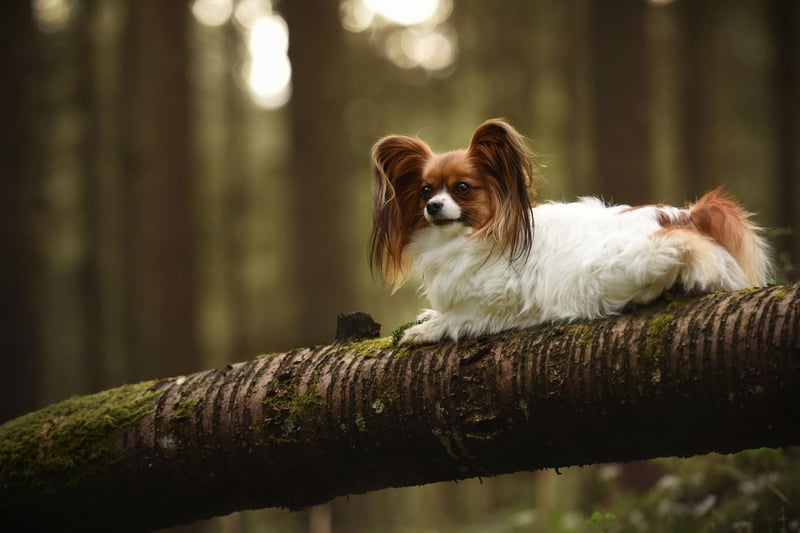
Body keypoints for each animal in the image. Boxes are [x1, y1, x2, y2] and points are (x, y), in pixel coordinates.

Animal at [370, 118, 776, 344]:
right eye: (426, 190)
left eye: (462, 188)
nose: (433, 207)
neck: (477, 235)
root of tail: (685, 215)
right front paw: (428, 316)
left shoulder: (500, 300)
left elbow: (460, 316)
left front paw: (429, 329)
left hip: (625, 262)